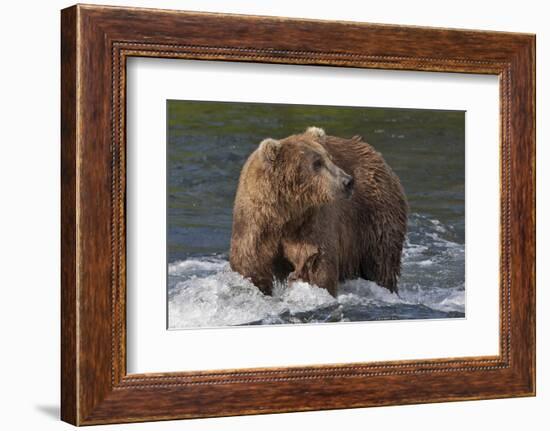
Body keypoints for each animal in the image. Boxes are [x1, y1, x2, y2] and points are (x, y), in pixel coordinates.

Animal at [230, 126, 410, 298]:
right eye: (317, 163)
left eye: (329, 158)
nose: (348, 181)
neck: (287, 213)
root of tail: (375, 154)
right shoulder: (256, 223)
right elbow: (251, 266)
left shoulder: (311, 222)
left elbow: (315, 265)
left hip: (375, 214)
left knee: (381, 262)